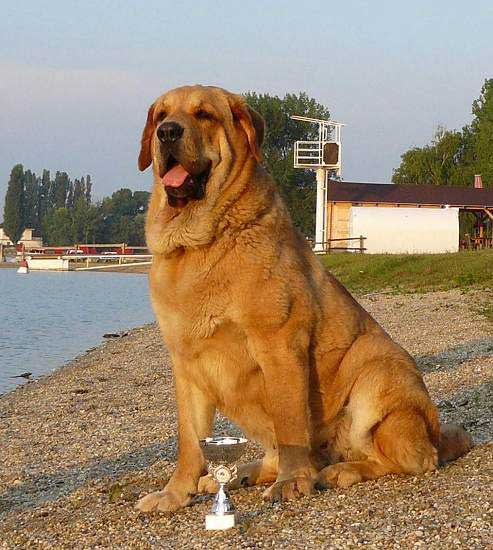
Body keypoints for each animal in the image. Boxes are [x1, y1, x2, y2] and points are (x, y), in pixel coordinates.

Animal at [134, 85, 468, 512]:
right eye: (161, 116)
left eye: (204, 114)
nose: (168, 133)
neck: (200, 243)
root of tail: (437, 433)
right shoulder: (186, 363)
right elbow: (189, 441)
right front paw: (175, 493)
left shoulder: (278, 346)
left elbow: (291, 423)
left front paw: (294, 482)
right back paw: (238, 474)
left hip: (377, 373)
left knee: (410, 459)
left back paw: (340, 470)